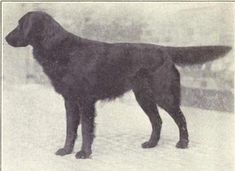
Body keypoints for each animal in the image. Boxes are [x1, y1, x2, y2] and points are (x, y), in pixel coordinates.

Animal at [5, 11, 231, 159]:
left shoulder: (86, 101)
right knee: (157, 121)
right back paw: (151, 144)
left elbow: (85, 130)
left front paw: (84, 153)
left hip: (163, 95)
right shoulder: (70, 101)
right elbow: (70, 129)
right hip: (143, 96)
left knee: (181, 118)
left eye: (21, 24)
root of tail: (164, 50)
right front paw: (66, 150)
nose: (5, 38)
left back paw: (183, 143)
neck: (61, 49)